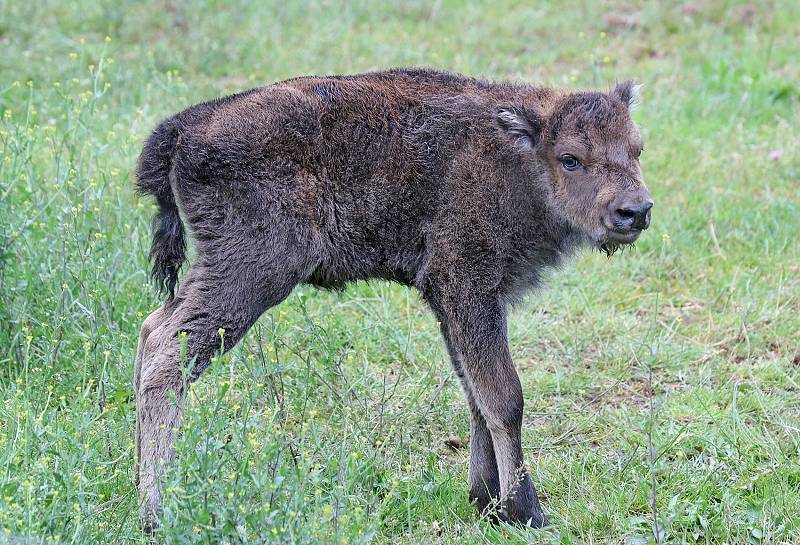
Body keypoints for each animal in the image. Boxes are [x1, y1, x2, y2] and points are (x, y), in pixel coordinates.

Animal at [134, 67, 652, 528]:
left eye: (637, 148)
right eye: (570, 158)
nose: (636, 211)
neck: (516, 154)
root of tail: (185, 127)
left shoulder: (458, 302)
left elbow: (475, 393)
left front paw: (486, 502)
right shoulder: (468, 285)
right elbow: (504, 397)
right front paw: (526, 513)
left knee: (151, 329)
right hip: (250, 274)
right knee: (167, 355)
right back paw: (156, 514)